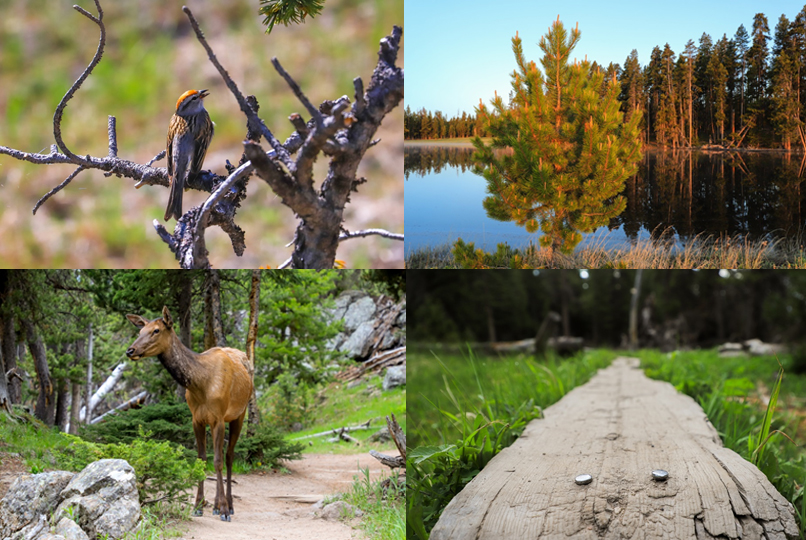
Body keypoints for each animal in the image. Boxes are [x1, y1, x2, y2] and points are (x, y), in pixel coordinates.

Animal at [125, 306, 252, 520]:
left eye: (156, 330)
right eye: (140, 331)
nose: (130, 350)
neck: (200, 384)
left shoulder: (218, 417)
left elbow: (217, 461)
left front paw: (224, 510)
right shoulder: (197, 419)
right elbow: (201, 459)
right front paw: (198, 506)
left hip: (239, 414)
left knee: (228, 456)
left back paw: (229, 505)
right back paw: (215, 505)